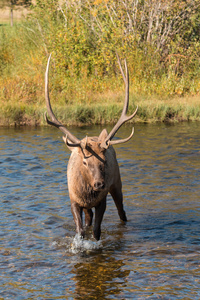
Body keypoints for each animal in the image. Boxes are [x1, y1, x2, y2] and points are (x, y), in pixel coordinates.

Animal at [44, 54, 138, 240]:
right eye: (85, 163)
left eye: (104, 161)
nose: (99, 184)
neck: (87, 194)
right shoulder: (74, 200)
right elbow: (80, 230)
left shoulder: (101, 200)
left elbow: (96, 231)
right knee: (89, 218)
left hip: (117, 183)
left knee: (121, 211)